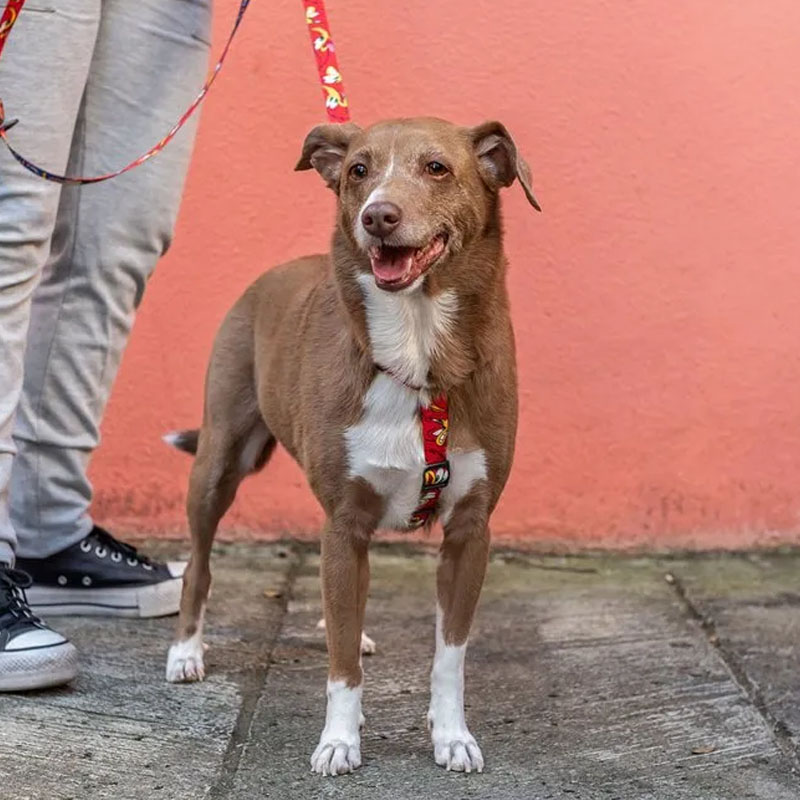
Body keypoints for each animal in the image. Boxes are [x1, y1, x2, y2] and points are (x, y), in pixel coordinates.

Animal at [164, 116, 539, 776]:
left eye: (437, 168)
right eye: (358, 170)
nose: (377, 216)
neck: (418, 354)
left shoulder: (470, 532)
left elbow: (449, 655)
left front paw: (451, 735)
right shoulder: (343, 522)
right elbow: (341, 668)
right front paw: (339, 740)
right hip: (219, 461)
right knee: (200, 565)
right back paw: (186, 652)